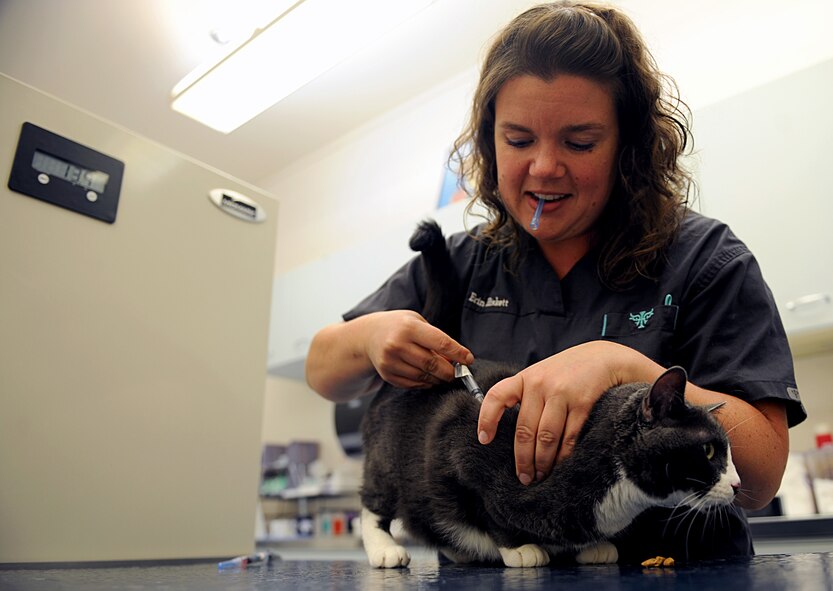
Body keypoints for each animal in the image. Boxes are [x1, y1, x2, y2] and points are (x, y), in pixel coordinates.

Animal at [358, 222, 740, 568]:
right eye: (708, 451)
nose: (737, 485)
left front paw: (591, 546)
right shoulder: (461, 446)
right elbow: (490, 513)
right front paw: (519, 548)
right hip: (387, 462)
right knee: (375, 504)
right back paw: (386, 550)